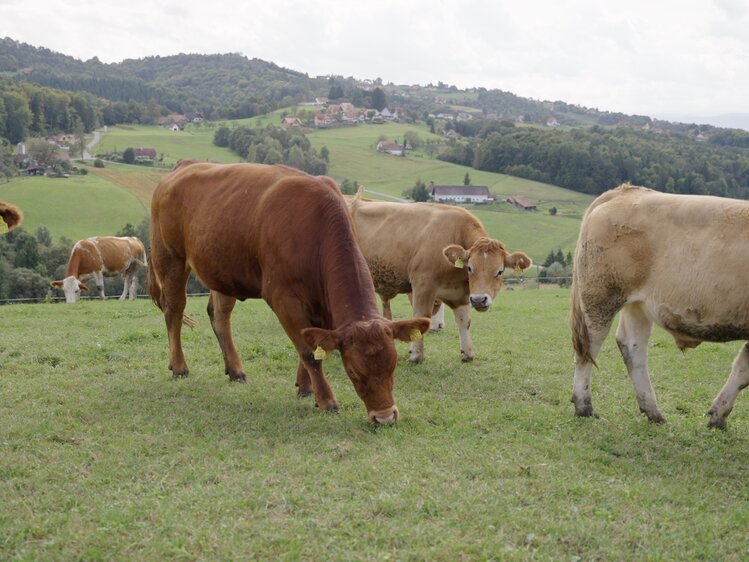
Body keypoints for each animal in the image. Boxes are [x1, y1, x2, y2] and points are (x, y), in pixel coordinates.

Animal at [148, 160, 426, 422]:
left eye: (392, 366)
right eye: (353, 372)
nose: (385, 417)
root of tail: (184, 165)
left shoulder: (325, 305)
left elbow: (313, 344)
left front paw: (305, 387)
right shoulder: (284, 299)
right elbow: (309, 352)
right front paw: (326, 400)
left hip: (222, 269)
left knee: (219, 316)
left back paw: (236, 371)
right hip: (170, 258)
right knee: (174, 309)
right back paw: (179, 366)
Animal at [346, 189, 528, 364]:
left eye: (499, 271)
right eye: (470, 268)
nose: (478, 300)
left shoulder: (461, 293)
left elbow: (464, 320)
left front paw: (467, 353)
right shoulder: (422, 285)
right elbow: (421, 317)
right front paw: (416, 355)